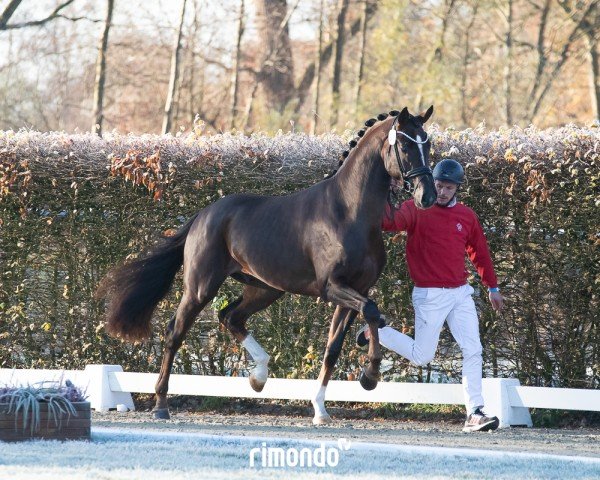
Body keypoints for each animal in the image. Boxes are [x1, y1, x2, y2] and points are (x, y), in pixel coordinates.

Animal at [97, 106, 436, 424]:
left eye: (428, 144)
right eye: (405, 145)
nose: (428, 196)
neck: (349, 212)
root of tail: (204, 214)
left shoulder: (357, 289)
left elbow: (338, 343)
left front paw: (323, 407)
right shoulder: (332, 287)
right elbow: (372, 311)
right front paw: (370, 376)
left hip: (265, 289)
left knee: (230, 317)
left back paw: (258, 377)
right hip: (200, 288)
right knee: (175, 334)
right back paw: (161, 405)